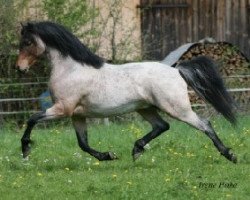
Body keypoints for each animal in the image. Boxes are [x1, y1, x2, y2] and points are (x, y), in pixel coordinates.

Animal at [16, 21, 237, 162]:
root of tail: (177, 70)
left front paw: (26, 150)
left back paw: (230, 155)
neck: (71, 69)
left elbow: (32, 119)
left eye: (27, 42)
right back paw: (137, 150)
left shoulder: (62, 109)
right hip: (145, 108)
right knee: (162, 126)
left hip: (177, 109)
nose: (20, 68)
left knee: (205, 125)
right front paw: (108, 156)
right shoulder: (76, 115)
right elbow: (83, 144)